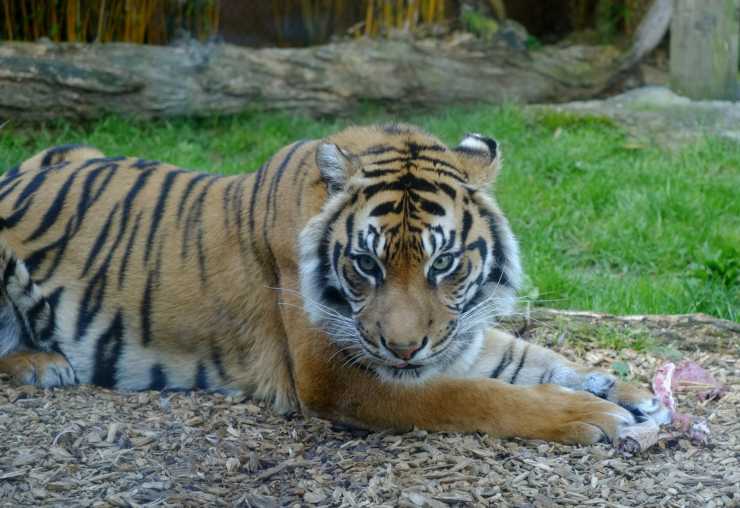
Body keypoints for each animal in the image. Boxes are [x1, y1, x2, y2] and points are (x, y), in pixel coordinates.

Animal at [0, 124, 669, 444]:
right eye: (366, 265)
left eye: (443, 265)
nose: (403, 349)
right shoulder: (336, 377)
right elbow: (475, 395)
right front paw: (593, 415)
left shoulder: (457, 332)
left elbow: (532, 359)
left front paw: (631, 391)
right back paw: (42, 364)